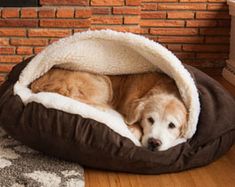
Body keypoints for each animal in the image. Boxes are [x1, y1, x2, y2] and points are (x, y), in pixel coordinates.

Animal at [30, 68, 187, 151]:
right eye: (150, 119)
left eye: (172, 125)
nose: (154, 143)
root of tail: (38, 82)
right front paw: (134, 129)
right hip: (102, 82)